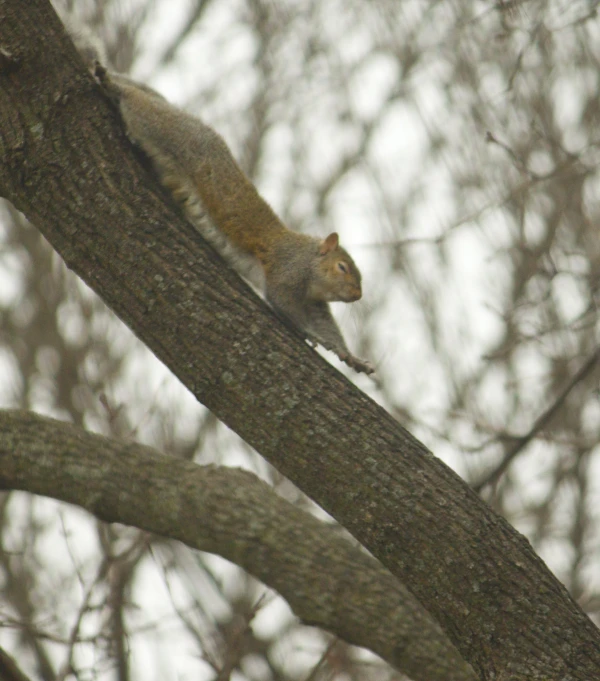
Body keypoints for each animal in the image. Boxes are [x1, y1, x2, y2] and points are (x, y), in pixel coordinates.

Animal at [68, 25, 372, 372]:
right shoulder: (285, 272)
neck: (308, 262)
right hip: (169, 133)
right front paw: (313, 337)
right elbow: (286, 308)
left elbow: (328, 326)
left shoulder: (316, 303)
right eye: (343, 267)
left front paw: (351, 357)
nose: (358, 295)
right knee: (138, 105)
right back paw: (111, 84)